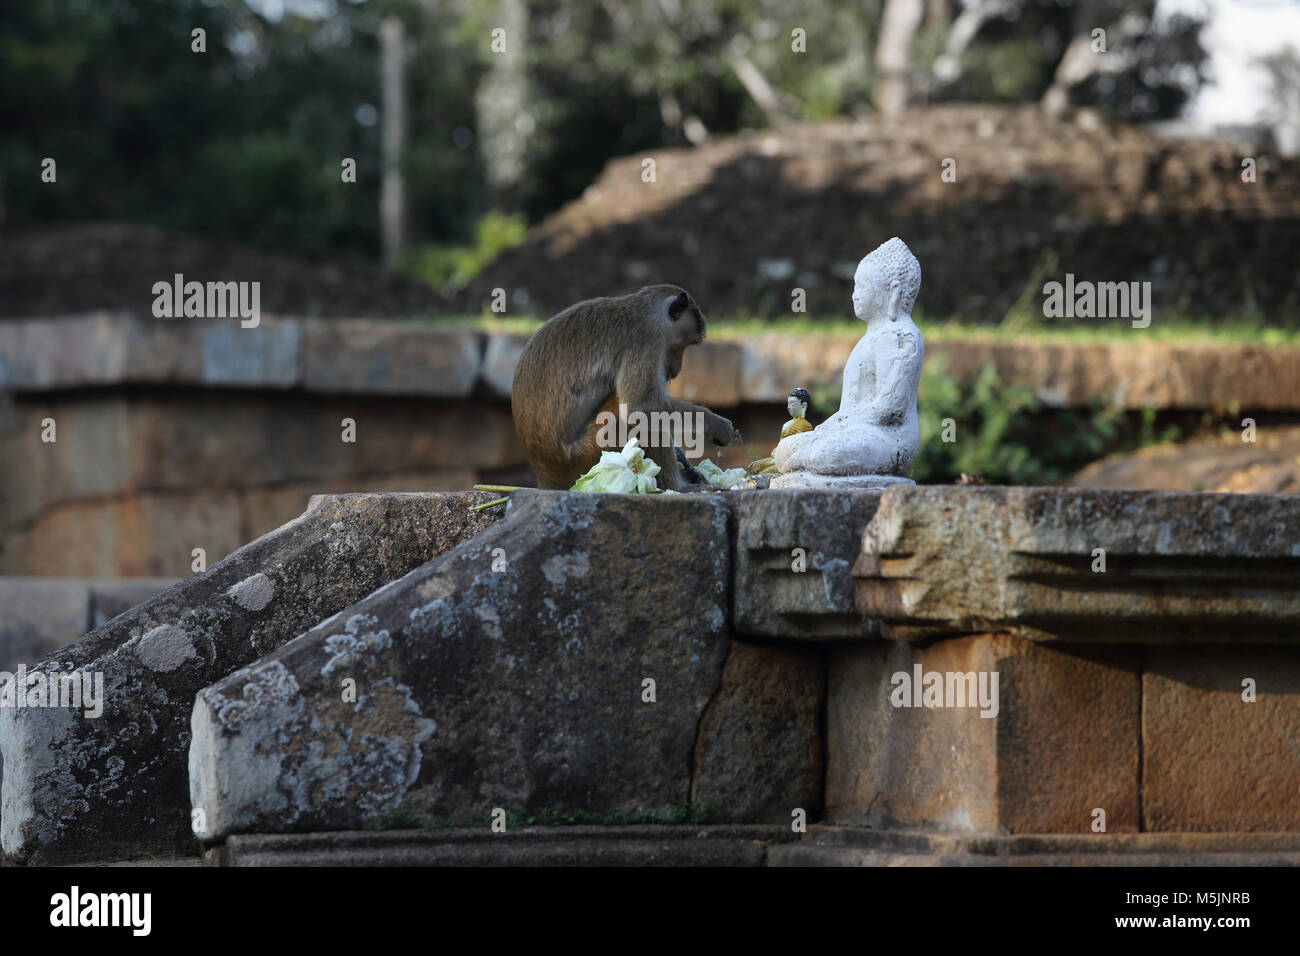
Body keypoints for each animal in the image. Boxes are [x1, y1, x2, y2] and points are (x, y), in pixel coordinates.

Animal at [511, 284, 735, 491]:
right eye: (684, 344)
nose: (676, 370)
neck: (649, 312)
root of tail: (545, 476)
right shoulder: (647, 340)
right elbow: (640, 406)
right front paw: (717, 424)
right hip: (585, 456)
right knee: (636, 416)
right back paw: (678, 487)